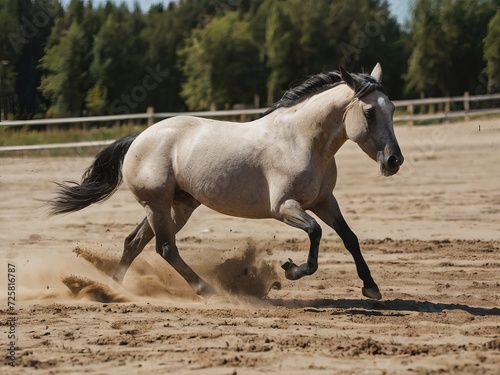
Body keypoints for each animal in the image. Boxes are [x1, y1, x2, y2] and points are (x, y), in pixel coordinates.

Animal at [47, 63, 402, 302]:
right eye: (369, 113)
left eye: (393, 108)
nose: (393, 161)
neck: (301, 140)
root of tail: (140, 138)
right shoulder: (284, 208)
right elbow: (315, 233)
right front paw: (291, 269)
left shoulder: (325, 201)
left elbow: (349, 237)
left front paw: (371, 287)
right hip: (158, 206)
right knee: (165, 248)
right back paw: (205, 290)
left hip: (175, 206)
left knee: (134, 242)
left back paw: (113, 288)